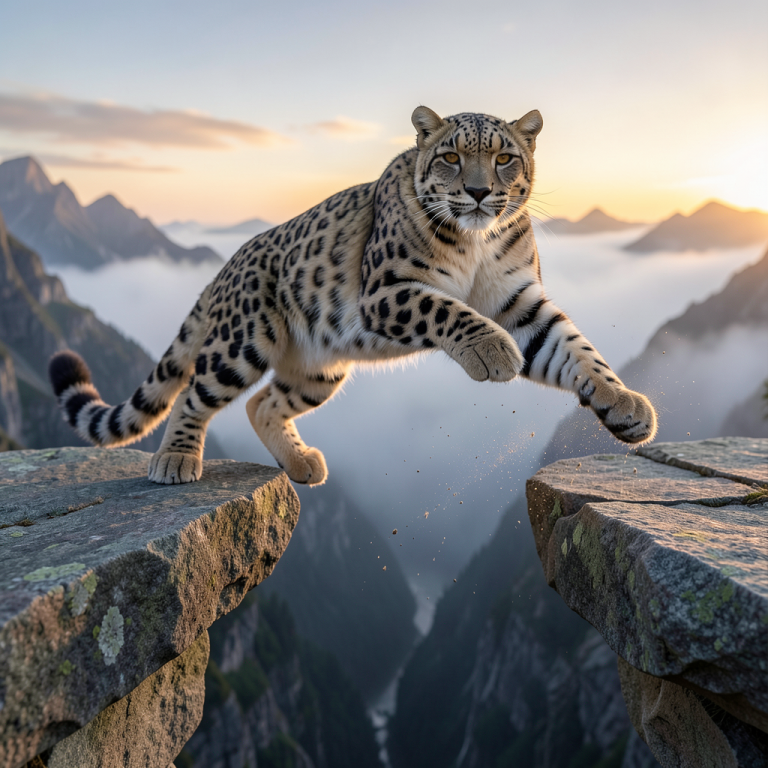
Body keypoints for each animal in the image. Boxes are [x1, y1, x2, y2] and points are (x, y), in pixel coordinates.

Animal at [49, 106, 658, 486]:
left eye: (504, 157)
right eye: (451, 157)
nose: (480, 191)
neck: (477, 243)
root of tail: (226, 265)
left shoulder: (519, 303)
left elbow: (576, 349)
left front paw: (625, 405)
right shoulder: (387, 290)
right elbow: (448, 308)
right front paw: (492, 352)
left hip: (320, 369)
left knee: (260, 403)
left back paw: (301, 464)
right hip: (242, 341)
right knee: (196, 392)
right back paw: (175, 460)